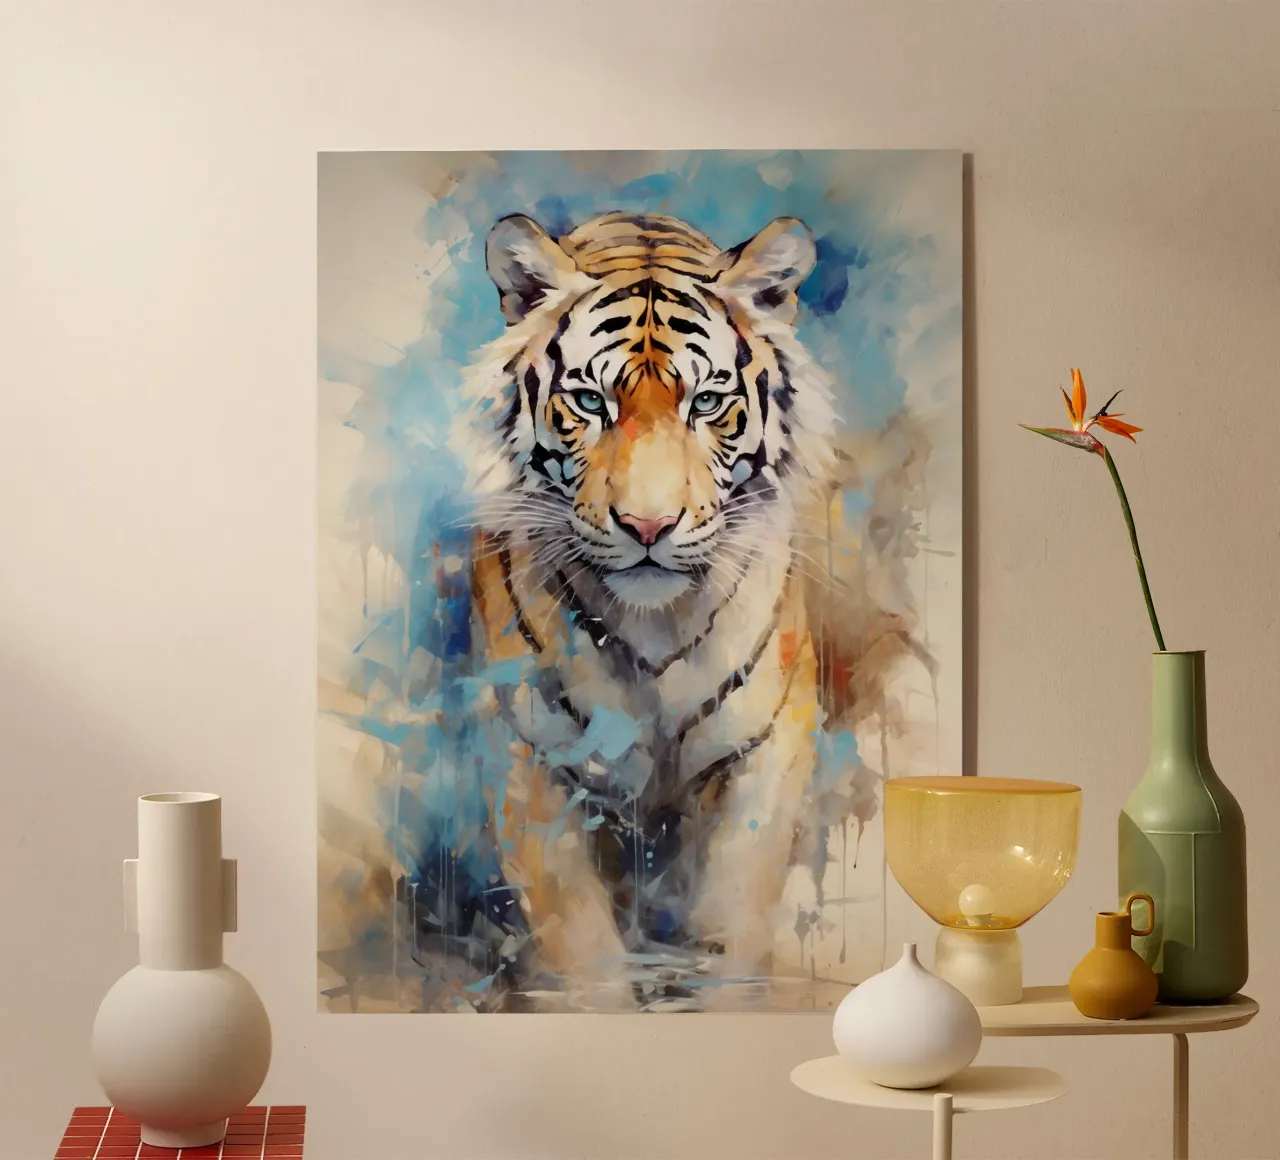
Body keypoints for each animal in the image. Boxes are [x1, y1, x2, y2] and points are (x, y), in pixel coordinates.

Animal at [450, 209, 849, 1010]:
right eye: (589, 402)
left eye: (707, 403)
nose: (647, 526)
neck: (653, 626)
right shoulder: (531, 757)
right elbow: (581, 946)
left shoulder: (765, 752)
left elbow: (730, 923)